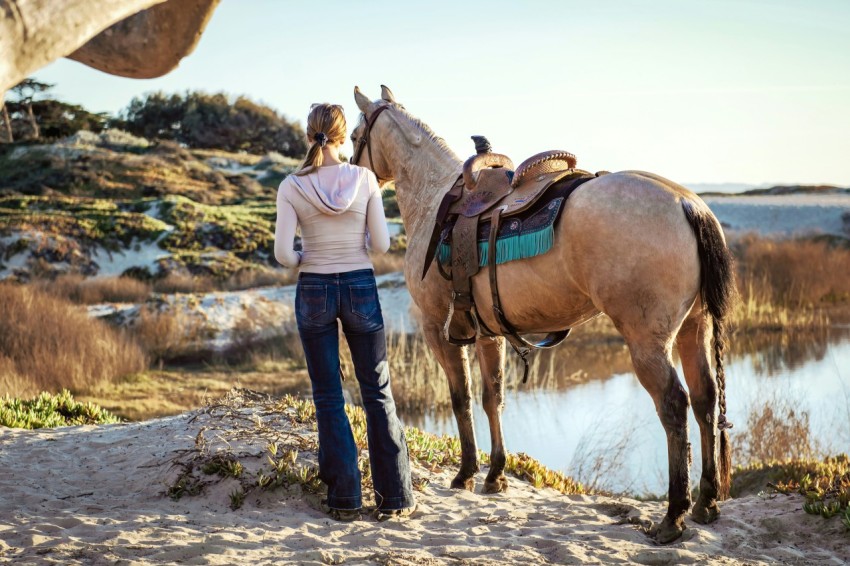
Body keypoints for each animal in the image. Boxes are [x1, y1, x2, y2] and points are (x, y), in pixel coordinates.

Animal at [349, 85, 735, 543]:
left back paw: (673, 516)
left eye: (354, 134)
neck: (435, 198)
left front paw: (466, 473)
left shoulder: (438, 329)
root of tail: (687, 204)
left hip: (648, 343)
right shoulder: (487, 334)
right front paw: (495, 475)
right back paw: (705, 502)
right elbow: (492, 397)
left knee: (674, 405)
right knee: (705, 399)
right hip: (696, 327)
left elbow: (460, 398)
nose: (351, 171)